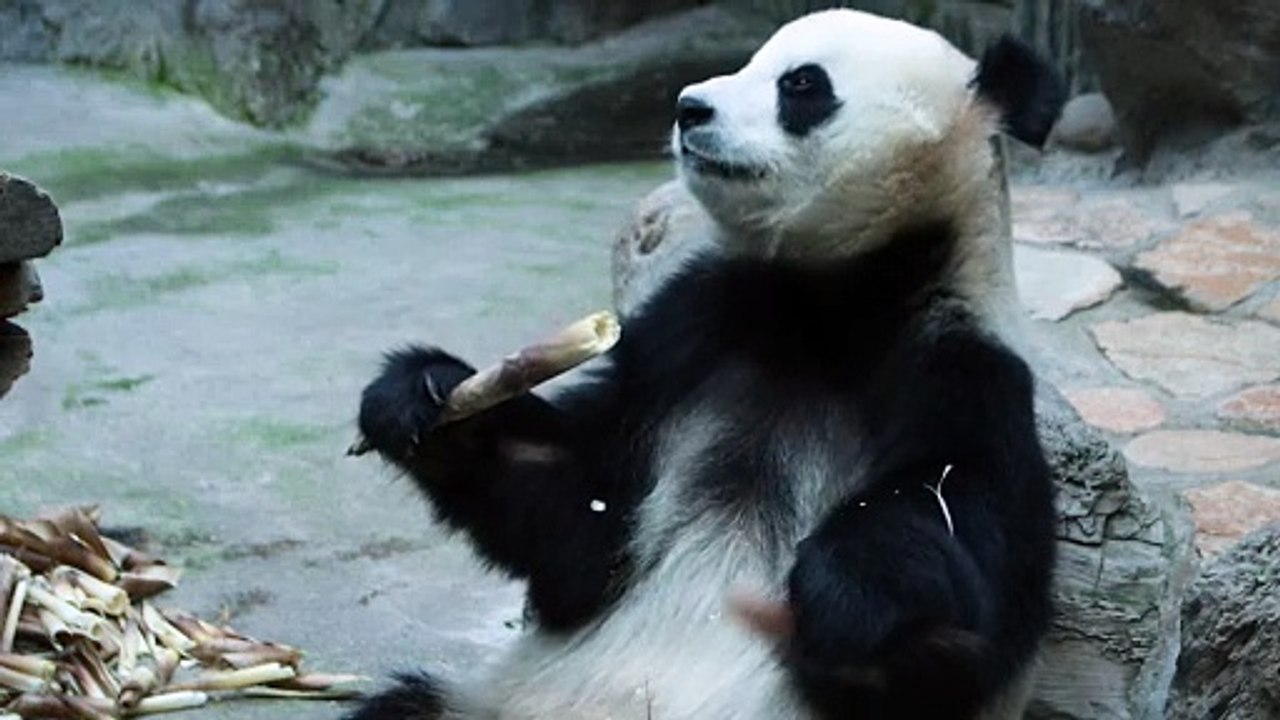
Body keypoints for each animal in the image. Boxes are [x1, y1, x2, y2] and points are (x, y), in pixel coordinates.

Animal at [349, 8, 1064, 720]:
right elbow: (583, 521)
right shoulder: (691, 332)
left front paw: (849, 593)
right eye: (752, 61)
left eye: (801, 85)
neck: (830, 301)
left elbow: (955, 563)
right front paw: (429, 400)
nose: (689, 108)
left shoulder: (963, 370)